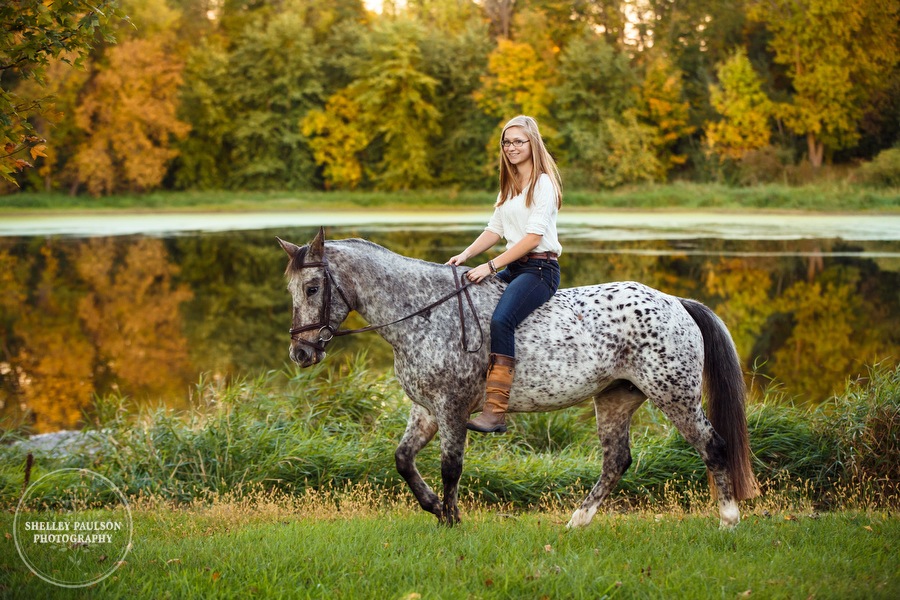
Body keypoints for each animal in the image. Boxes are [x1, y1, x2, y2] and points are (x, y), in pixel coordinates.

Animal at [278, 227, 756, 528]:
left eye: (313, 288)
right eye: (292, 290)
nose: (301, 353)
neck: (423, 312)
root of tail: (675, 302)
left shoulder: (452, 408)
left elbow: (451, 466)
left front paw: (451, 521)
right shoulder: (426, 409)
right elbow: (403, 460)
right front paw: (433, 507)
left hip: (674, 395)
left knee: (713, 447)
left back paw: (729, 520)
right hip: (616, 399)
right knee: (616, 461)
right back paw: (577, 522)